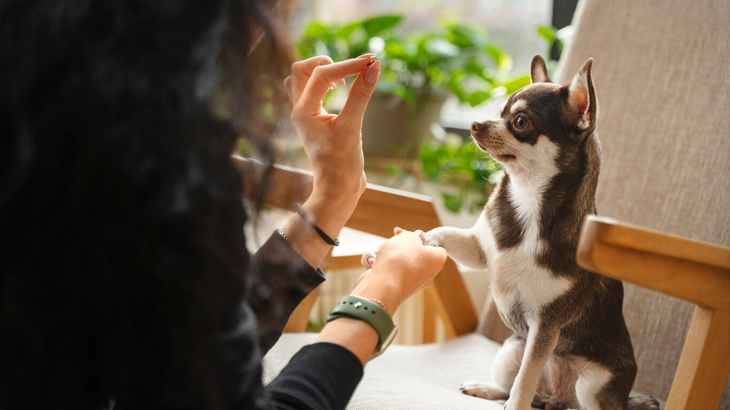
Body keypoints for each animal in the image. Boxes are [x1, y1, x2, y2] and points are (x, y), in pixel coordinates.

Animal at [420, 55, 656, 410]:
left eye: (520, 122)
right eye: (499, 112)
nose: (475, 124)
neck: (529, 199)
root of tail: (557, 397)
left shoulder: (545, 326)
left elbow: (527, 376)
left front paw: (515, 406)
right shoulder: (479, 249)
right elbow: (448, 233)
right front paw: (425, 238)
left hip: (593, 386)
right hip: (509, 351)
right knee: (512, 385)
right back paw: (487, 388)